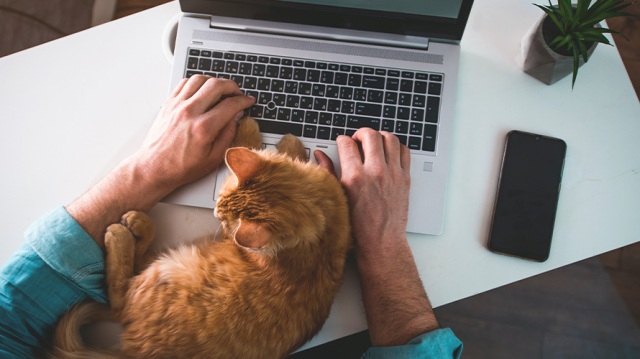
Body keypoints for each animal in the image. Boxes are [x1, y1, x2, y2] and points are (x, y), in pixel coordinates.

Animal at [51, 117, 350, 358]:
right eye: (220, 200)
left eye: (224, 222)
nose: (216, 212)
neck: (321, 234)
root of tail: (137, 352)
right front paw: (287, 141)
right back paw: (138, 223)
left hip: (168, 270)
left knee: (118, 294)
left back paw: (124, 232)